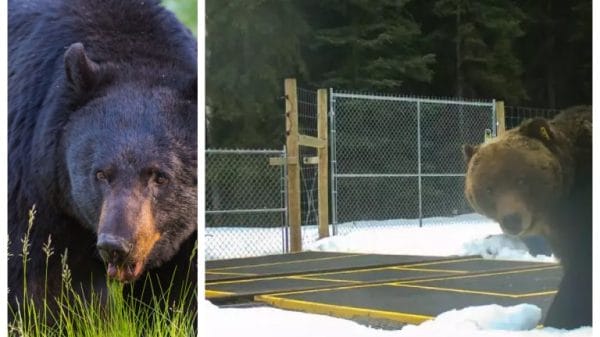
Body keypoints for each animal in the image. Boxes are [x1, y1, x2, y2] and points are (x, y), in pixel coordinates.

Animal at [7, 0, 198, 316]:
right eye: (100, 174)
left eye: (160, 177)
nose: (116, 246)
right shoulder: (36, 184)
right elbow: (44, 282)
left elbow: (182, 286)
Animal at [464, 106, 592, 326]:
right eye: (489, 189)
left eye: (521, 180)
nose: (511, 219)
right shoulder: (562, 230)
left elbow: (581, 271)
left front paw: (559, 319)